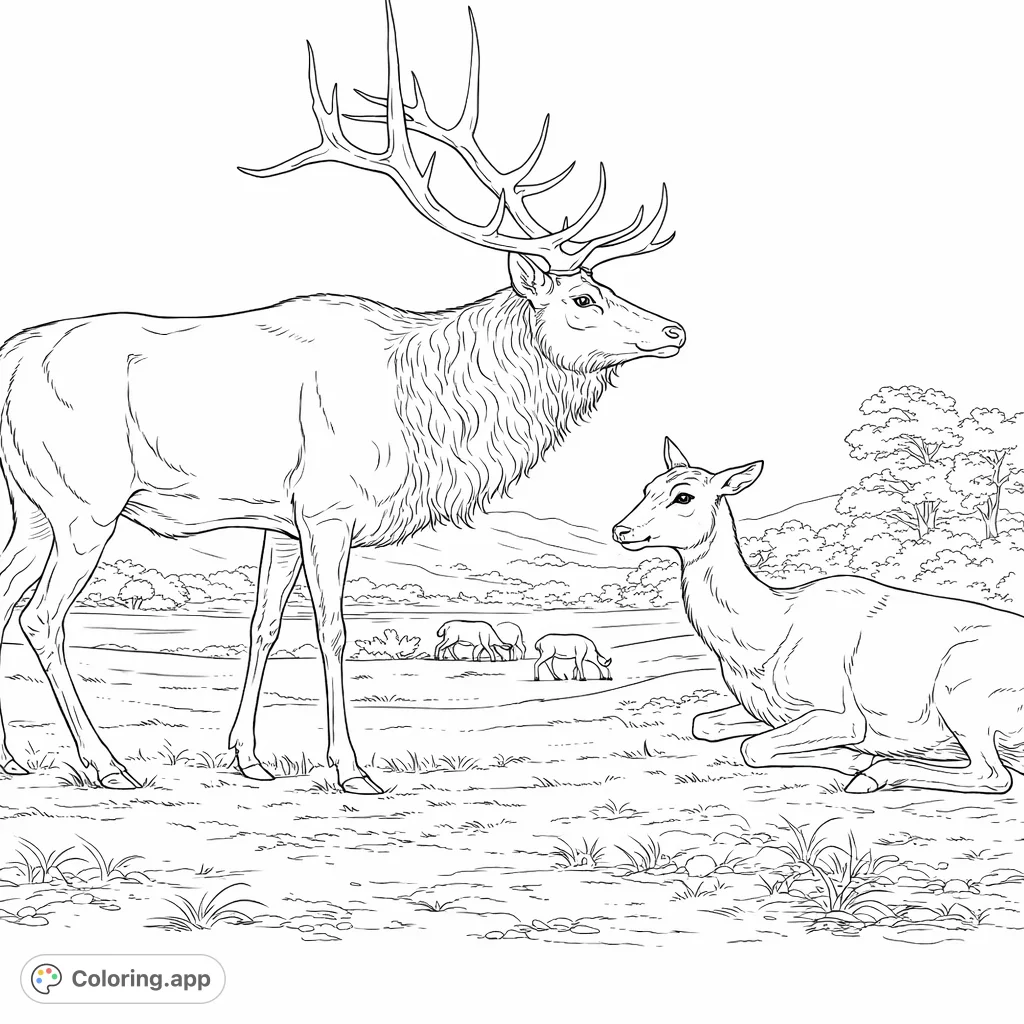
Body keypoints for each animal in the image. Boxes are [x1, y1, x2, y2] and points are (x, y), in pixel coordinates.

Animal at [0, 2, 683, 795]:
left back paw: (15, 757)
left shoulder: (279, 517)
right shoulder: (328, 507)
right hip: (85, 502)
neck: (420, 409)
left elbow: (263, 624)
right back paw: (103, 763)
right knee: (43, 618)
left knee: (5, 604)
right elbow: (332, 629)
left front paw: (248, 756)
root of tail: (11, 358)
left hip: (32, 506)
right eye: (582, 298)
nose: (675, 329)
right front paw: (351, 768)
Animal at [611, 439, 1024, 795]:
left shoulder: (841, 712)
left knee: (993, 775)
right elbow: (705, 724)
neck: (764, 634)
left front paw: (854, 759)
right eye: (647, 488)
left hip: (960, 689)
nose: (621, 529)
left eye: (684, 496)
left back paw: (871, 775)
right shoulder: (768, 708)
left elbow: (752, 748)